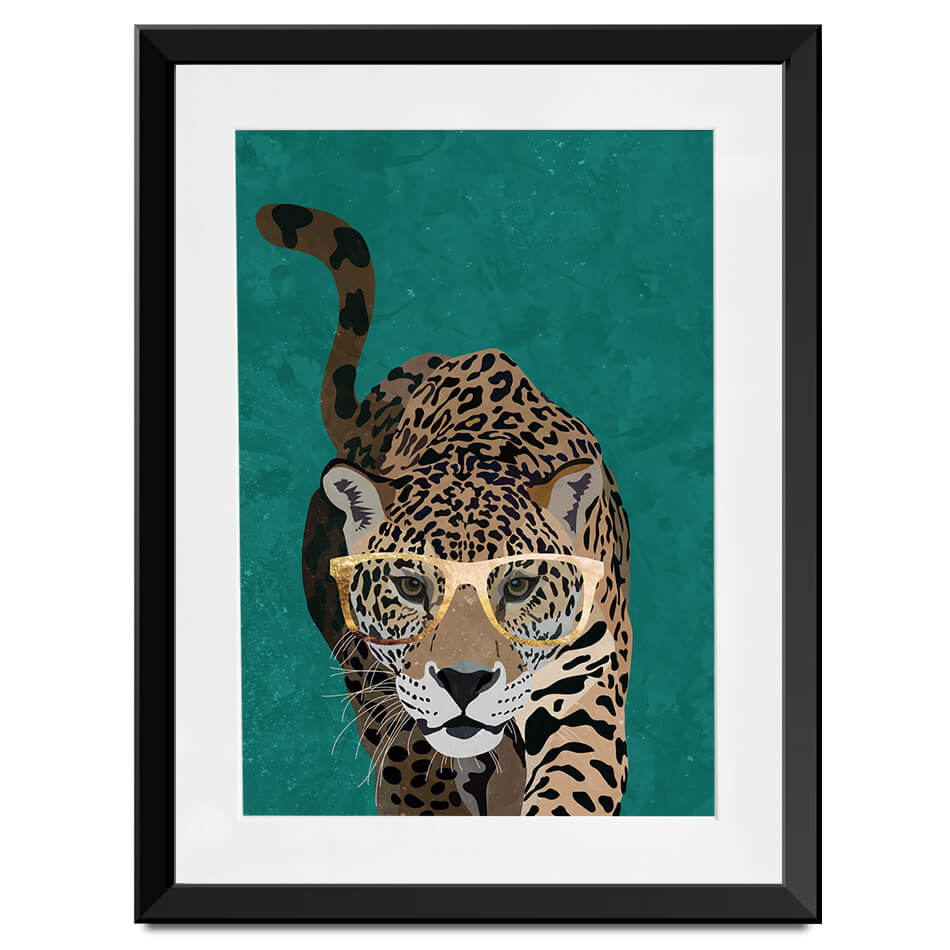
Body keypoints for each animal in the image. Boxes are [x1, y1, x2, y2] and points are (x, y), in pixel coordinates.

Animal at [255, 203, 633, 815]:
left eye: (519, 586)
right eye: (411, 586)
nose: (464, 682)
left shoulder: (585, 691)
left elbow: (570, 792)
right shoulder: (391, 698)